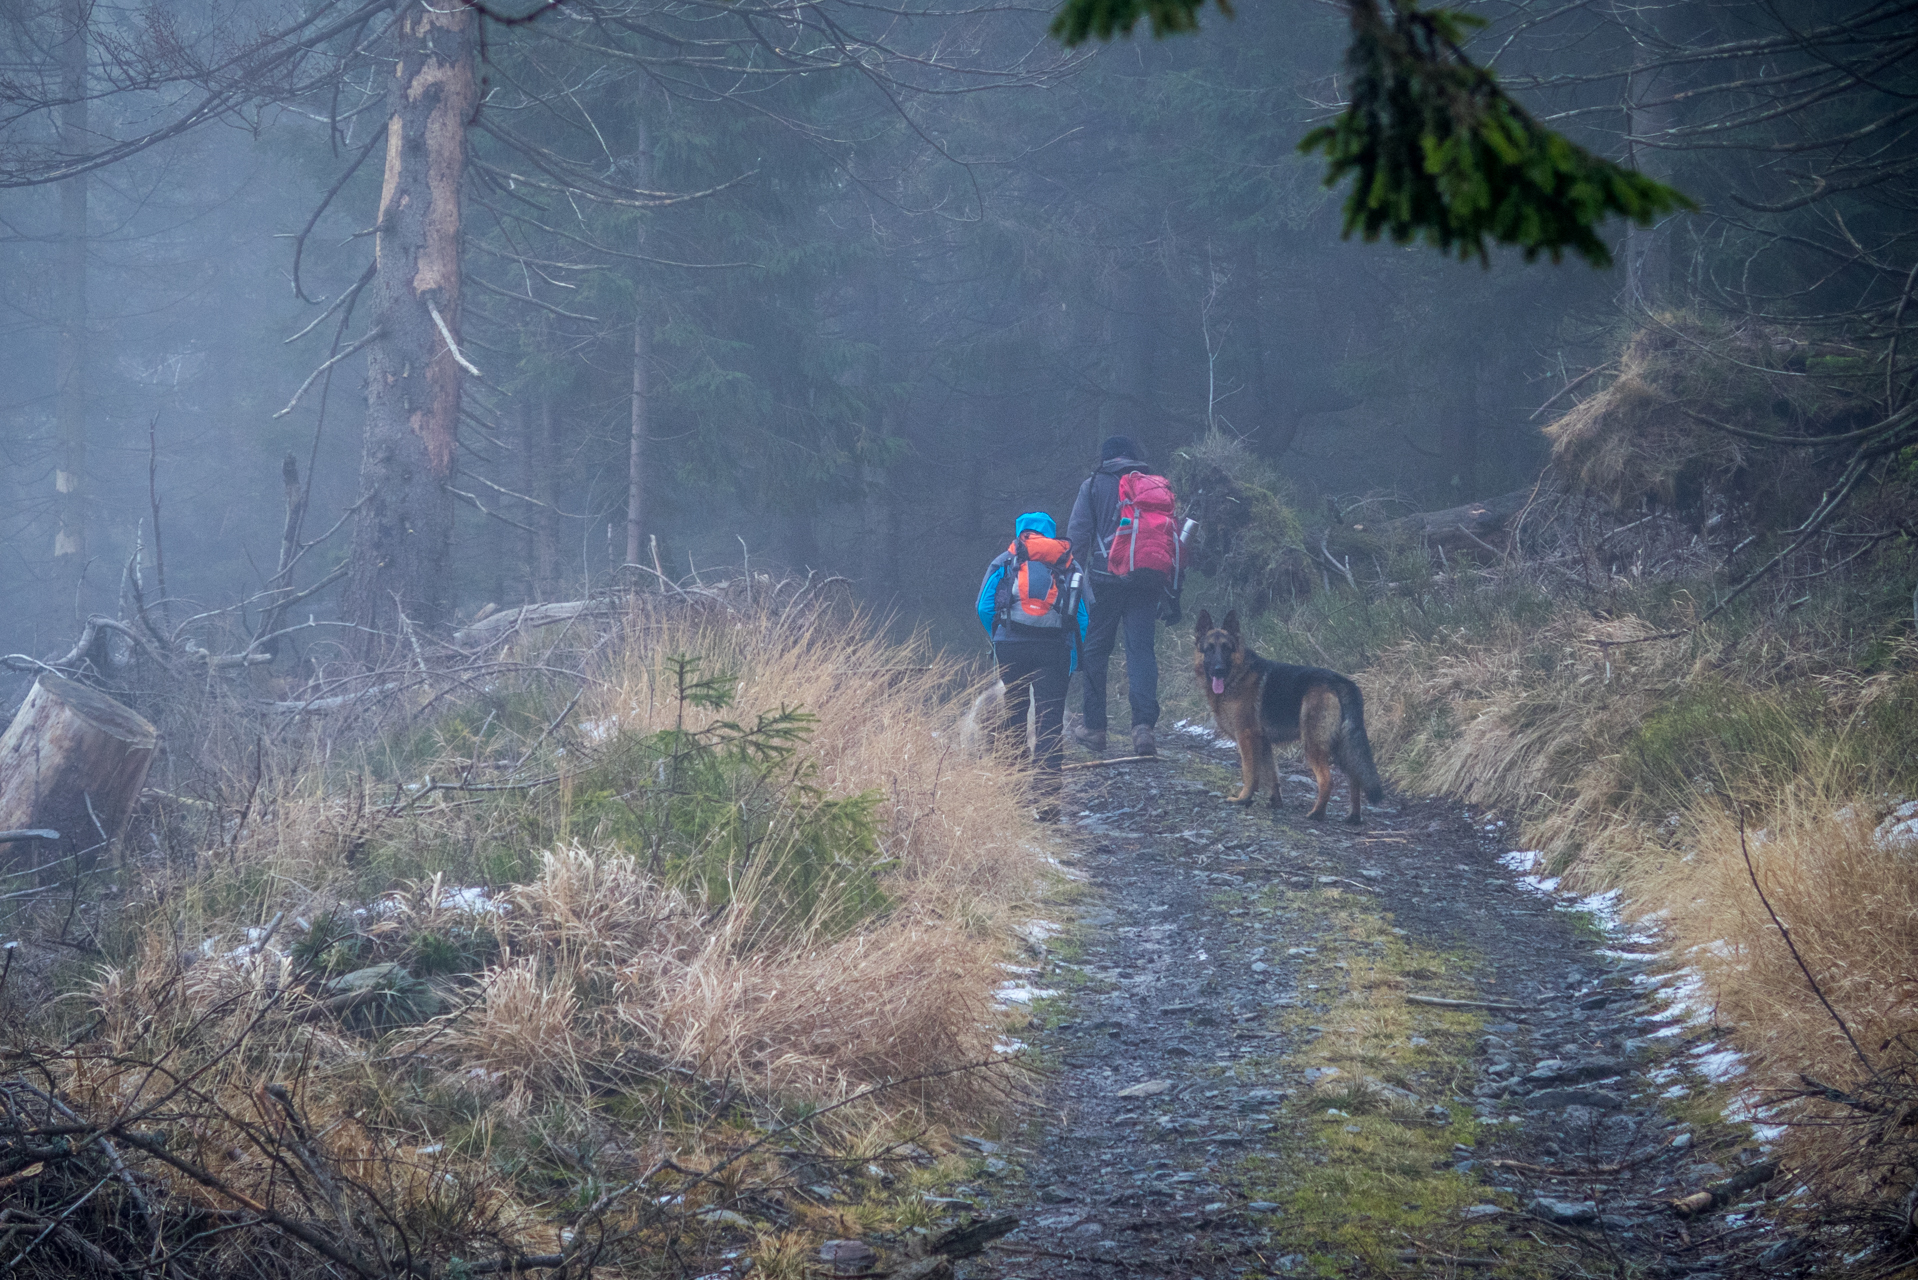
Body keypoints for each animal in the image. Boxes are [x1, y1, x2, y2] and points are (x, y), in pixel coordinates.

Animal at [1189, 614, 1388, 832]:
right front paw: (1275, 802)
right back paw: (1353, 816)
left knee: (1327, 780)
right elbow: (1272, 775)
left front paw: (1243, 799)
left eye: (1226, 648)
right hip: (1341, 747)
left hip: (1313, 746)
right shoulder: (1264, 743)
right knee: (1355, 778)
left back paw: (1317, 814)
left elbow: (1250, 774)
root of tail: (1341, 682)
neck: (1238, 674)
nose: (1219, 670)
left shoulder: (1246, 738)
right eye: (1209, 649)